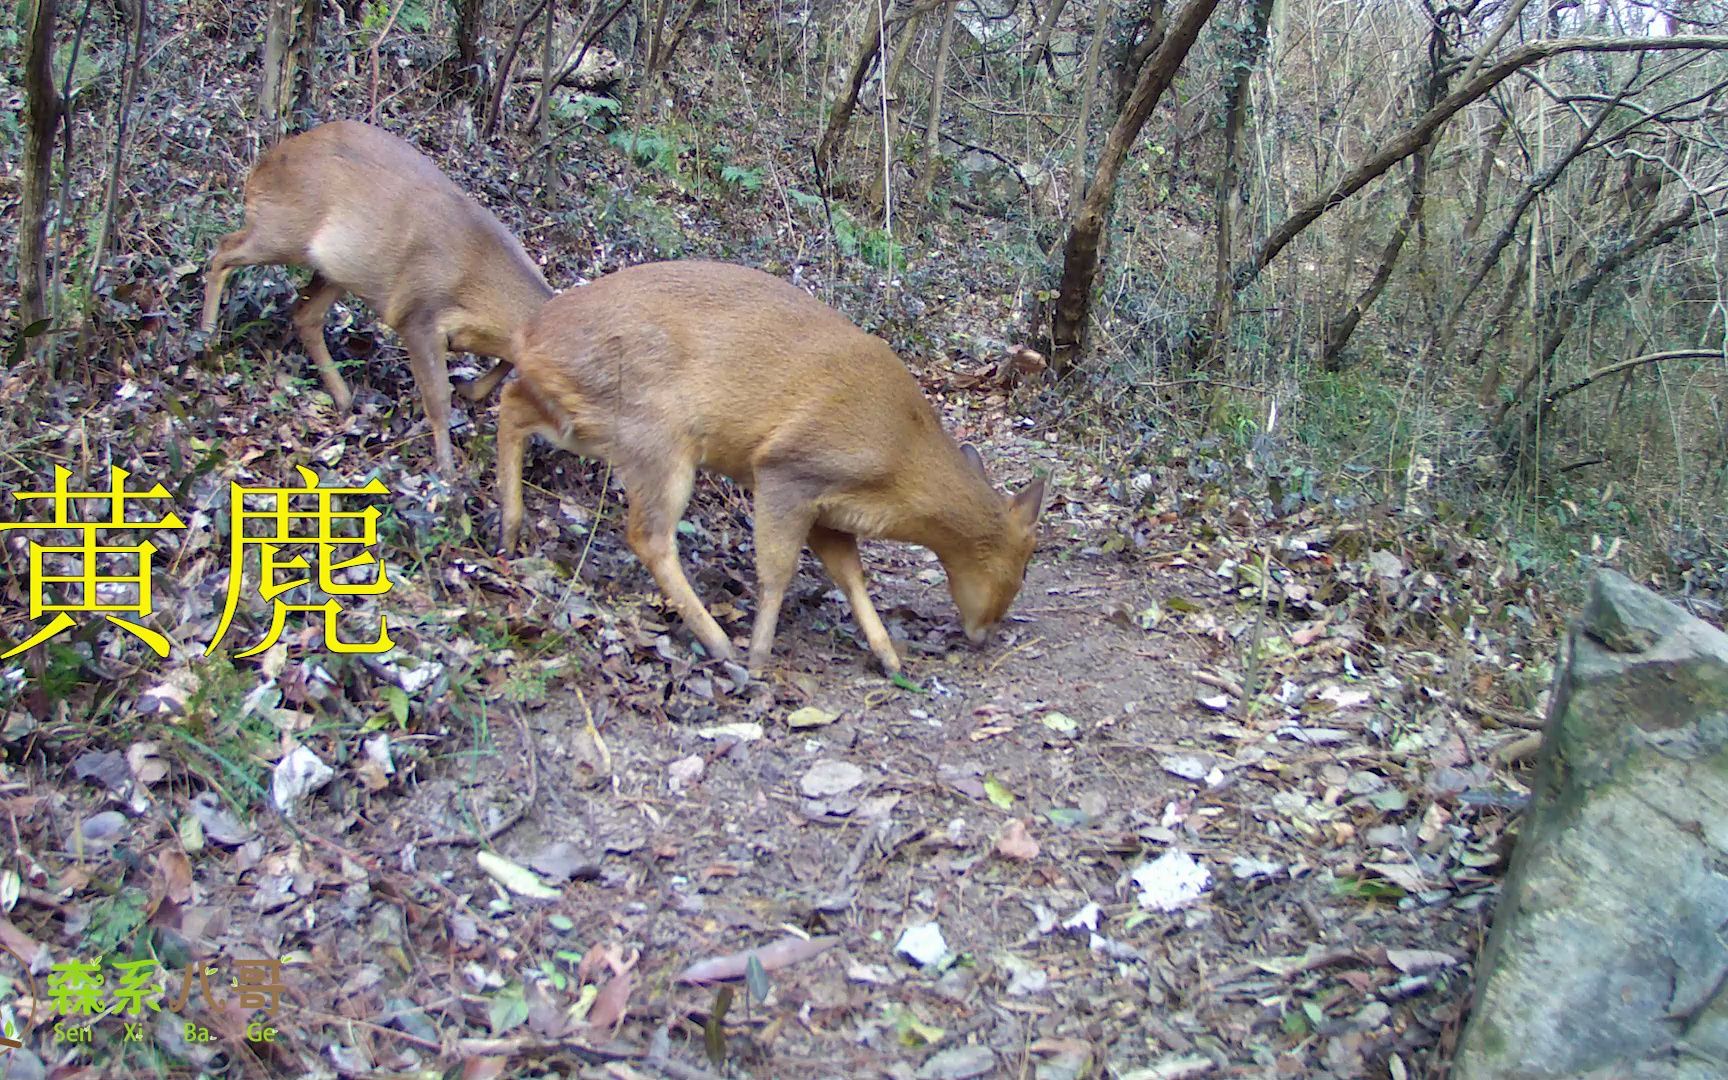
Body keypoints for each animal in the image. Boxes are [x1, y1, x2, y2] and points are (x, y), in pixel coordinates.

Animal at [201, 119, 552, 470]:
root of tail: (265, 163)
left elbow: (506, 363)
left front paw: (469, 389)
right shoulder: (418, 316)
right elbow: (438, 397)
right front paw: (446, 471)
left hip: (339, 266)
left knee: (304, 314)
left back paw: (344, 399)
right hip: (284, 229)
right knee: (222, 250)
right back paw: (206, 338)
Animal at [494, 257, 1043, 673]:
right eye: (1023, 564)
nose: (985, 633)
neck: (898, 462)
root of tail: (528, 332)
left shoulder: (828, 511)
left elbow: (851, 576)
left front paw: (889, 657)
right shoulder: (789, 468)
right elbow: (777, 570)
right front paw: (760, 655)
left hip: (591, 418)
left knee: (512, 401)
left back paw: (509, 528)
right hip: (655, 430)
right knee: (649, 536)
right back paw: (720, 645)